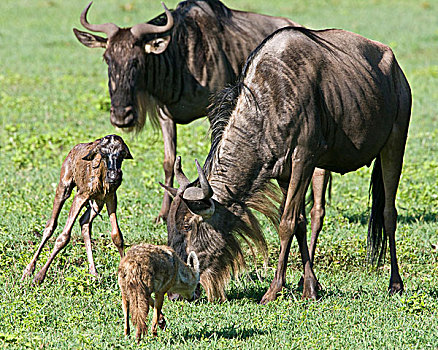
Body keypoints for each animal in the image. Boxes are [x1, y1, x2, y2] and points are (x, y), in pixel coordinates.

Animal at [22, 134, 132, 284]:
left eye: (122, 154)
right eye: (103, 153)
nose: (114, 176)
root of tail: (74, 149)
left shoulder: (110, 197)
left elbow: (117, 236)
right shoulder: (81, 195)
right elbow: (63, 237)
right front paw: (39, 276)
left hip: (97, 202)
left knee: (84, 222)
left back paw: (93, 273)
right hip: (65, 187)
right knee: (50, 226)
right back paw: (28, 270)